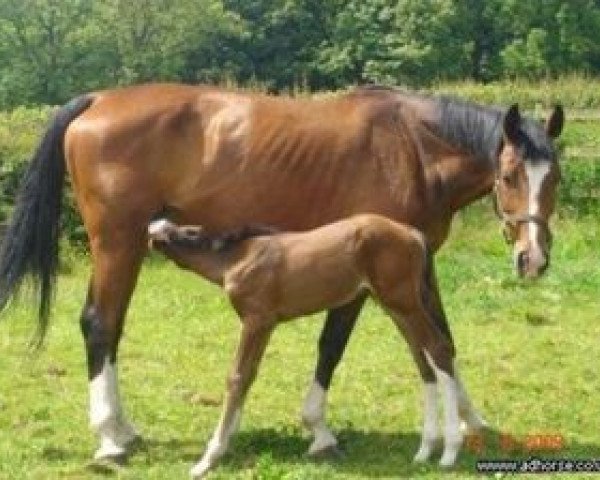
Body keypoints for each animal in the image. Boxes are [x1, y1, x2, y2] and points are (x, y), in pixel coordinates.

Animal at [148, 216, 486, 478]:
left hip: (403, 303)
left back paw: (449, 452)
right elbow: (249, 376)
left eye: (189, 231)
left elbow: (237, 377)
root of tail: (414, 234)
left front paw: (209, 458)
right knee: (424, 360)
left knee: (439, 349)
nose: (154, 229)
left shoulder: (257, 320)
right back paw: (425, 449)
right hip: (397, 307)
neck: (238, 258)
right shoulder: (263, 324)